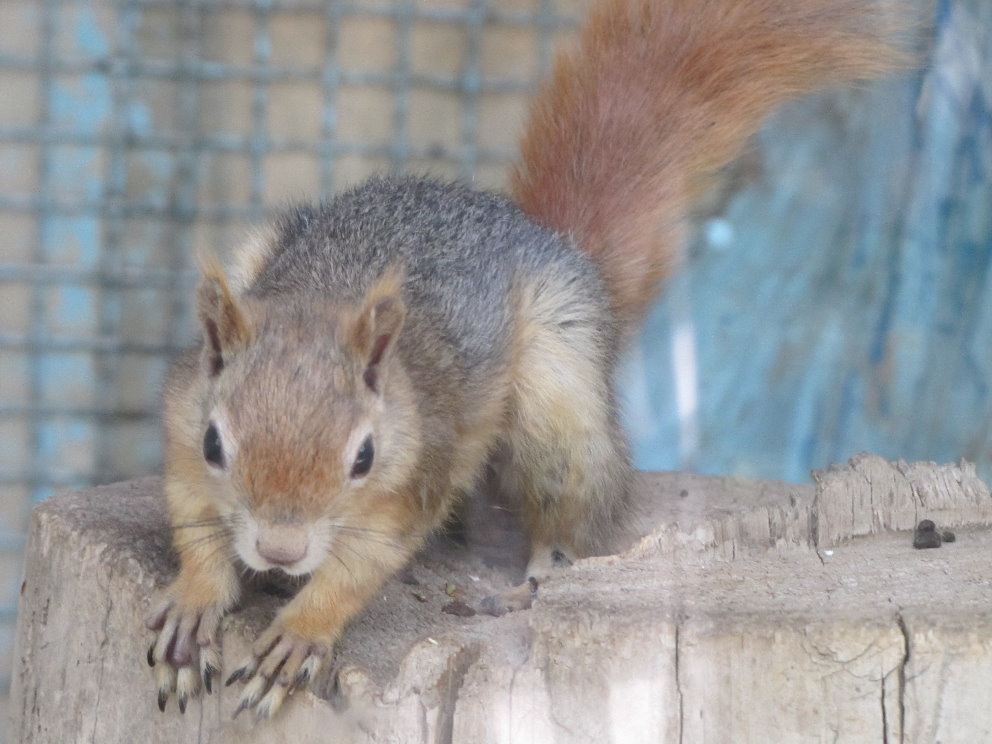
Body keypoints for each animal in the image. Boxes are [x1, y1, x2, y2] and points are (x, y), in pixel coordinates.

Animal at [146, 0, 907, 720]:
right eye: (215, 444)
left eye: (363, 458)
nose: (280, 551)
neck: (318, 305)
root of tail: (547, 237)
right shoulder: (181, 436)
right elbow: (194, 525)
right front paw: (193, 603)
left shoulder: (412, 484)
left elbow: (360, 568)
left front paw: (301, 634)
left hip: (559, 395)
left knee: (580, 497)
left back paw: (547, 566)